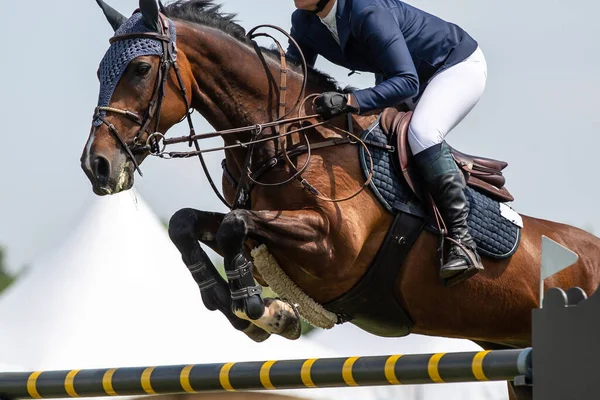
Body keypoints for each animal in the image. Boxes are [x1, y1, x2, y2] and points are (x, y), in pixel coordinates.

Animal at [81, 0, 600, 396]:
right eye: (100, 70)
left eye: (140, 68)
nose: (97, 165)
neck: (286, 139)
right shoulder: (266, 227)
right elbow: (187, 223)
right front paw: (247, 308)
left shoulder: (334, 246)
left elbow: (233, 226)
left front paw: (261, 309)